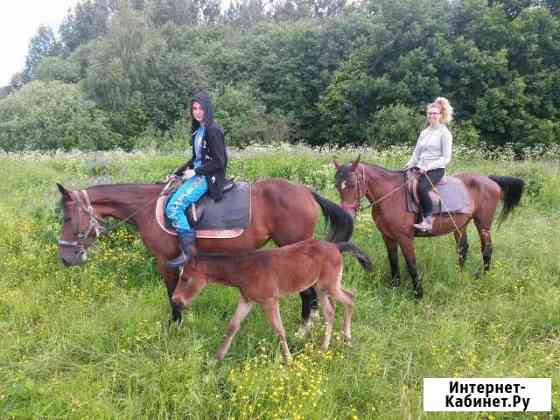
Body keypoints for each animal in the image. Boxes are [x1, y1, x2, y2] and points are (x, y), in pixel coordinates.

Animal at [58, 179, 354, 326]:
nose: (64, 258)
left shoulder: (166, 261)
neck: (146, 207)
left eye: (66, 218)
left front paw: (175, 325)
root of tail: (307, 191)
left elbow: (171, 294)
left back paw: (304, 327)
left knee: (307, 290)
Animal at [171, 240, 372, 364]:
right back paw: (324, 348)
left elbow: (279, 330)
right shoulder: (247, 300)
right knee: (330, 311)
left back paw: (347, 337)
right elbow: (232, 326)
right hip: (320, 287)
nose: (175, 300)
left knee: (350, 298)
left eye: (186, 278)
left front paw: (289, 361)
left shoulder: (269, 301)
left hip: (328, 284)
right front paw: (216, 359)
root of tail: (336, 246)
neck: (244, 270)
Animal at [332, 156, 524, 296]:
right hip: (460, 224)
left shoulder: (405, 237)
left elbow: (411, 263)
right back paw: (459, 274)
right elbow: (393, 260)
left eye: (352, 184)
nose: (347, 215)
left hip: (483, 223)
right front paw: (395, 287)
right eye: (337, 186)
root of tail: (490, 180)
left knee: (487, 249)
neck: (390, 195)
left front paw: (418, 294)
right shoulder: (388, 236)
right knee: (463, 248)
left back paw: (484, 276)